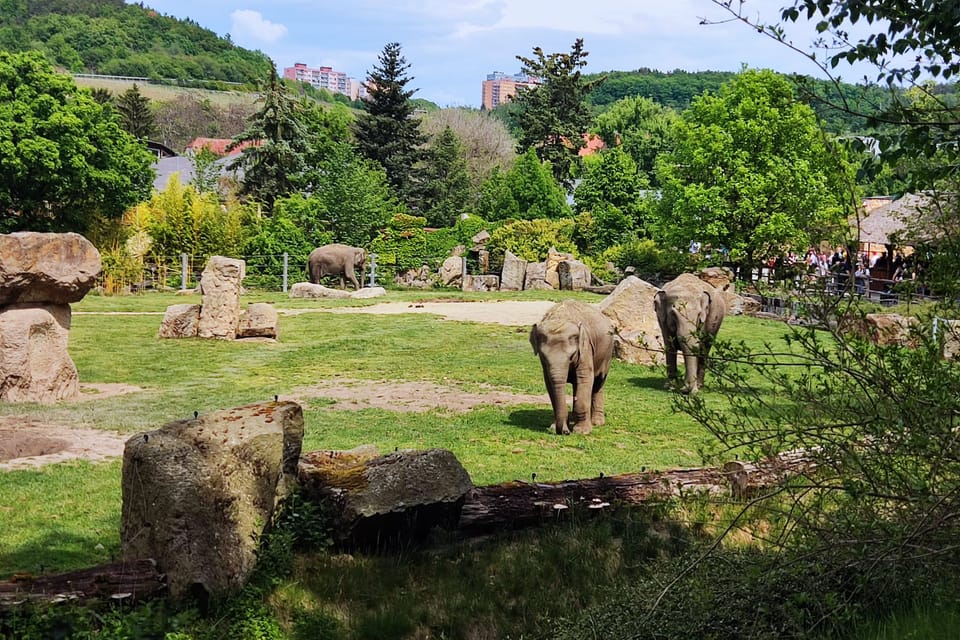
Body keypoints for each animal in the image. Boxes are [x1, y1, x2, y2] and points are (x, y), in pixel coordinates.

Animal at [528, 300, 612, 436]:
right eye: (543, 356)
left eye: (572, 356)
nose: (565, 432)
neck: (560, 318)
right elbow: (550, 383)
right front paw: (553, 427)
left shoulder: (585, 348)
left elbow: (584, 378)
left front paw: (582, 431)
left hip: (607, 355)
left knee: (598, 383)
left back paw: (597, 422)